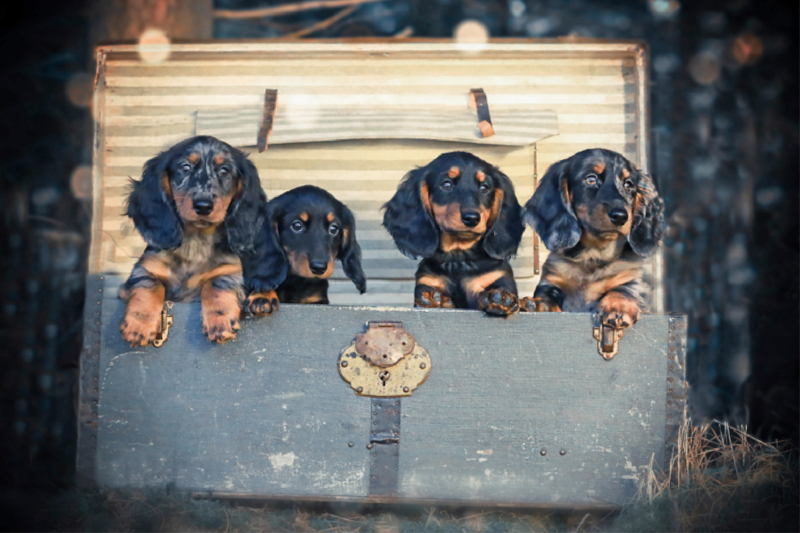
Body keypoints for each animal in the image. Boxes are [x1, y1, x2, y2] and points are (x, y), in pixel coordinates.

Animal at [119, 134, 266, 344]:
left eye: (224, 170)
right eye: (185, 167)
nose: (203, 206)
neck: (196, 242)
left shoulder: (230, 271)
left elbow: (216, 283)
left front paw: (220, 320)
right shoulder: (144, 269)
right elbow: (149, 285)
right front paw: (139, 324)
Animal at [382, 151, 524, 316]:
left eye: (484, 187)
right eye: (446, 184)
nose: (472, 218)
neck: (458, 259)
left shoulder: (498, 276)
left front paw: (501, 298)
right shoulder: (427, 281)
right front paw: (434, 299)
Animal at [520, 147, 664, 328]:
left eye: (629, 184)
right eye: (591, 179)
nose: (620, 216)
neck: (593, 256)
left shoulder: (631, 279)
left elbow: (624, 289)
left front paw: (617, 306)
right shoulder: (551, 280)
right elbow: (547, 294)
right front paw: (539, 304)